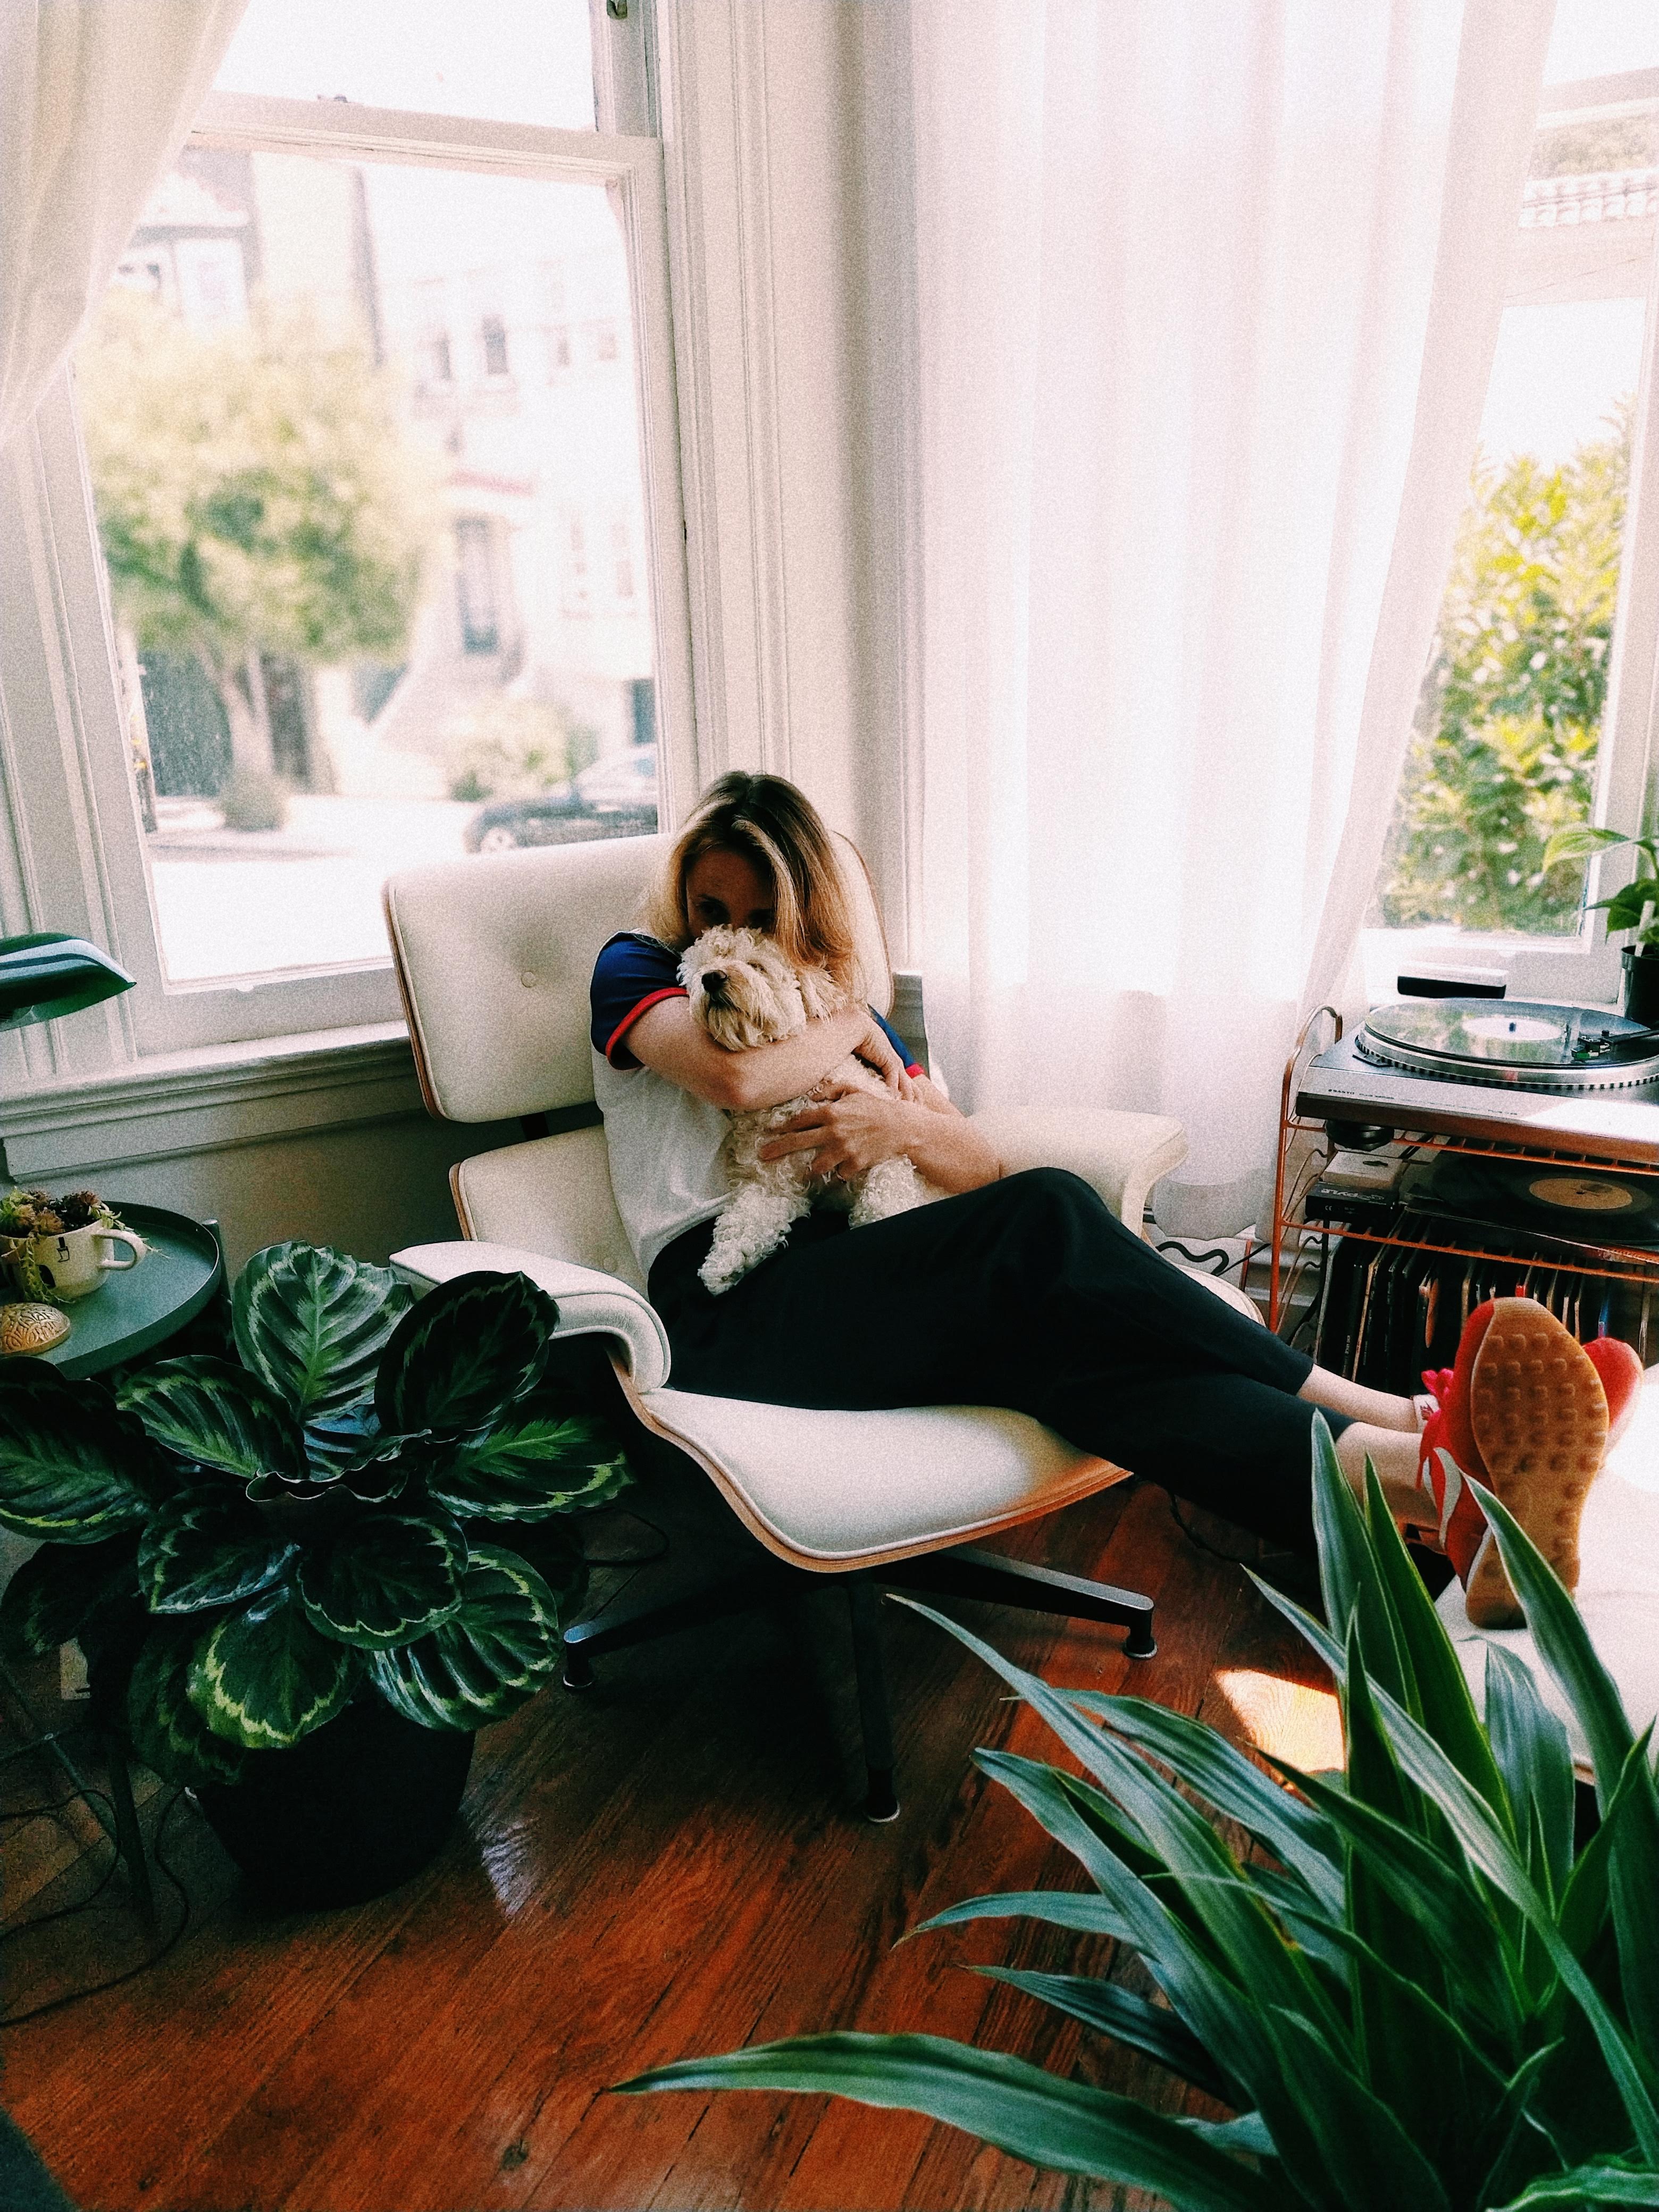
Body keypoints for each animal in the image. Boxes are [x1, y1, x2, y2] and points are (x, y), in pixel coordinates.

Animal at [672, 920, 937, 1292]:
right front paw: (723, 1264)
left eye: (757, 966)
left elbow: (883, 1205)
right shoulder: (772, 1185)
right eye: (701, 968)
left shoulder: (885, 1151)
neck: (791, 1097)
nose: (712, 978)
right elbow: (745, 1220)